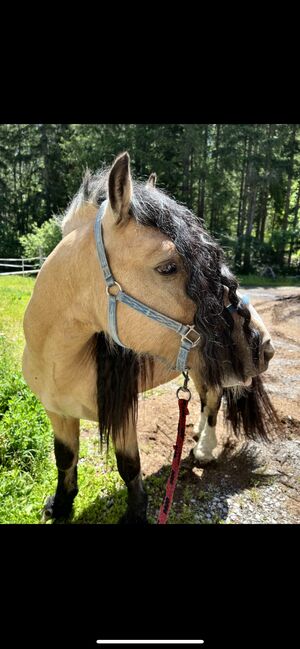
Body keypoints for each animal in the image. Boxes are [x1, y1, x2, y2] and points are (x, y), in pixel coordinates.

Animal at [22, 151, 278, 520]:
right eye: (168, 267)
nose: (264, 346)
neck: (59, 360)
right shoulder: (58, 412)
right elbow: (64, 458)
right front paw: (60, 504)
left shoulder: (124, 414)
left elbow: (129, 465)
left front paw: (135, 513)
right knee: (204, 399)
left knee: (213, 400)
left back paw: (204, 450)